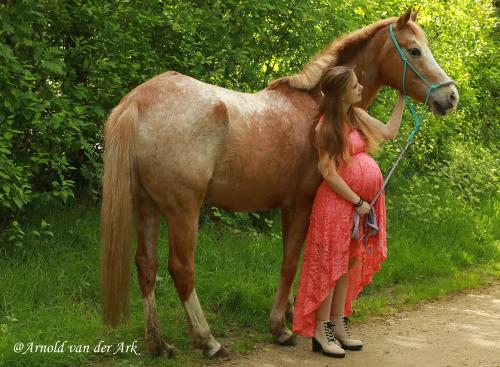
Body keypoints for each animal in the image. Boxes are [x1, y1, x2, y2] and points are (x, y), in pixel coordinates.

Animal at [99, 6, 458, 360]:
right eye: (414, 50)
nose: (451, 96)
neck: (317, 106)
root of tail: (137, 101)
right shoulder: (299, 204)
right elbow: (290, 262)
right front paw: (281, 327)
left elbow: (295, 262)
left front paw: (290, 312)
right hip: (182, 209)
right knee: (181, 269)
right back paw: (209, 342)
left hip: (146, 205)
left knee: (146, 265)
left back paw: (158, 344)